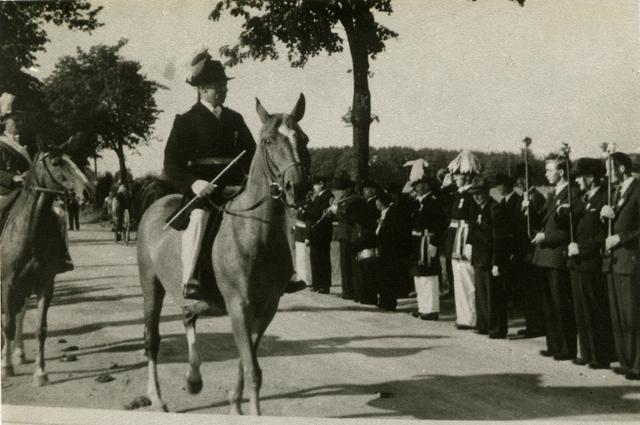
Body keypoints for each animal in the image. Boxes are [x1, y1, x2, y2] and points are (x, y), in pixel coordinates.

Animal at [0, 142, 91, 384]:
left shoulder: (44, 284)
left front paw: (40, 373)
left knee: (20, 313)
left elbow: (40, 329)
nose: (88, 191)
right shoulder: (7, 284)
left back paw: (19, 353)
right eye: (57, 162)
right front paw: (6, 366)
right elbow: (7, 324)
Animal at [138, 93, 310, 414]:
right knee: (152, 339)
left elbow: (247, 361)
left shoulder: (265, 309)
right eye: (269, 140)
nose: (298, 187)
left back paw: (193, 378)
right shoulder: (239, 305)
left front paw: (234, 405)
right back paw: (156, 397)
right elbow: (253, 370)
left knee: (188, 315)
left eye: (303, 138)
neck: (255, 233)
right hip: (150, 288)